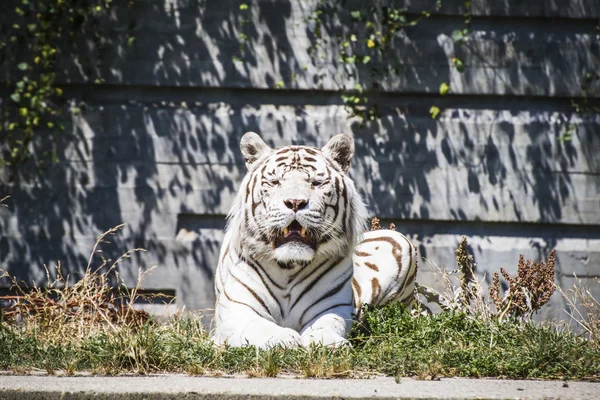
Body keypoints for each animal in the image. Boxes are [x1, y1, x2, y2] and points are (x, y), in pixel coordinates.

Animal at [214, 131, 418, 346]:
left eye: (316, 183)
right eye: (275, 182)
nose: (295, 202)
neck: (289, 266)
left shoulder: (332, 307)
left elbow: (327, 324)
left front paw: (329, 342)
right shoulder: (236, 310)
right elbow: (257, 327)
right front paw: (282, 338)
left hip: (401, 243)